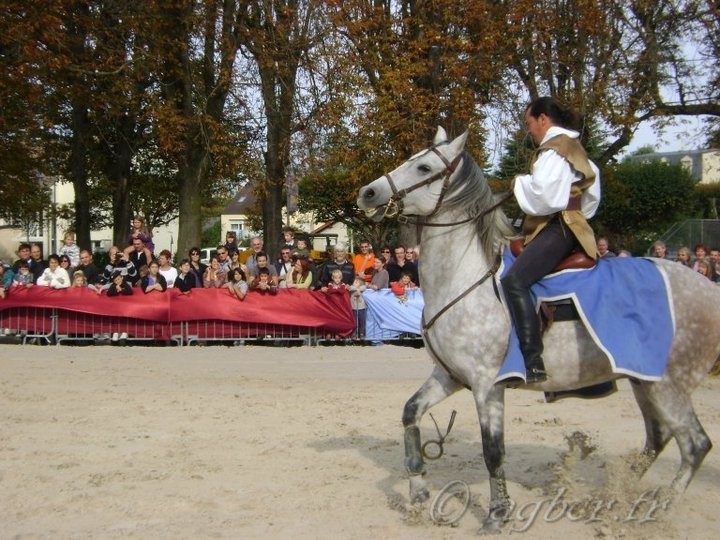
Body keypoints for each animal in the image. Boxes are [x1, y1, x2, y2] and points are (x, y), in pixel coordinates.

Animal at [356, 127, 720, 532]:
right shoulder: (449, 376)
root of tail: (708, 289)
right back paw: (614, 498)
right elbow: (411, 413)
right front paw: (418, 492)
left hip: (669, 386)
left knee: (695, 445)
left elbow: (493, 452)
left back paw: (653, 509)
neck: (465, 279)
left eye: (423, 167)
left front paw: (497, 515)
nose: (368, 193)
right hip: (645, 383)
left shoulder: (487, 385)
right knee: (658, 438)